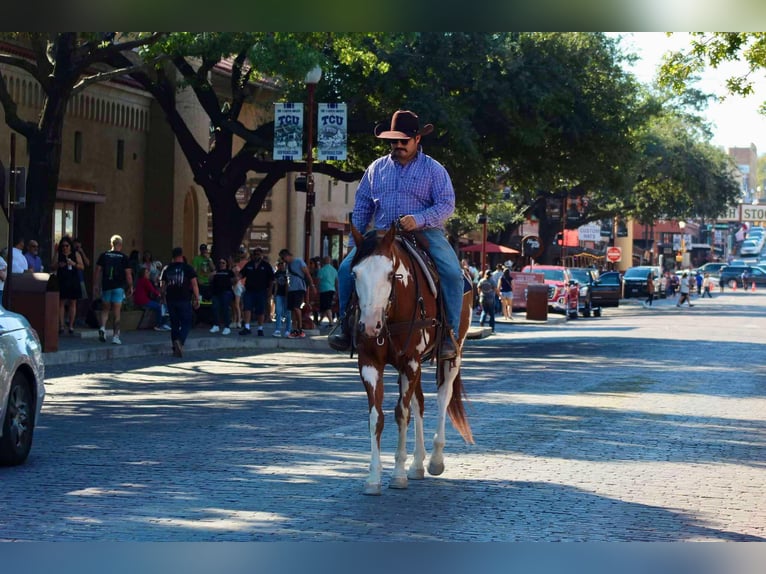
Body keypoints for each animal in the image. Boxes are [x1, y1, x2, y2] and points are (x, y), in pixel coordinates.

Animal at [352, 225, 474, 496]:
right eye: (354, 273)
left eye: (391, 275)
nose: (369, 326)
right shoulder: (370, 363)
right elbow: (376, 417)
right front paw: (374, 477)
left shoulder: (410, 361)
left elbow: (401, 413)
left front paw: (397, 473)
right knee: (419, 402)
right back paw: (417, 463)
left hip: (452, 355)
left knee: (443, 397)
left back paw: (435, 460)